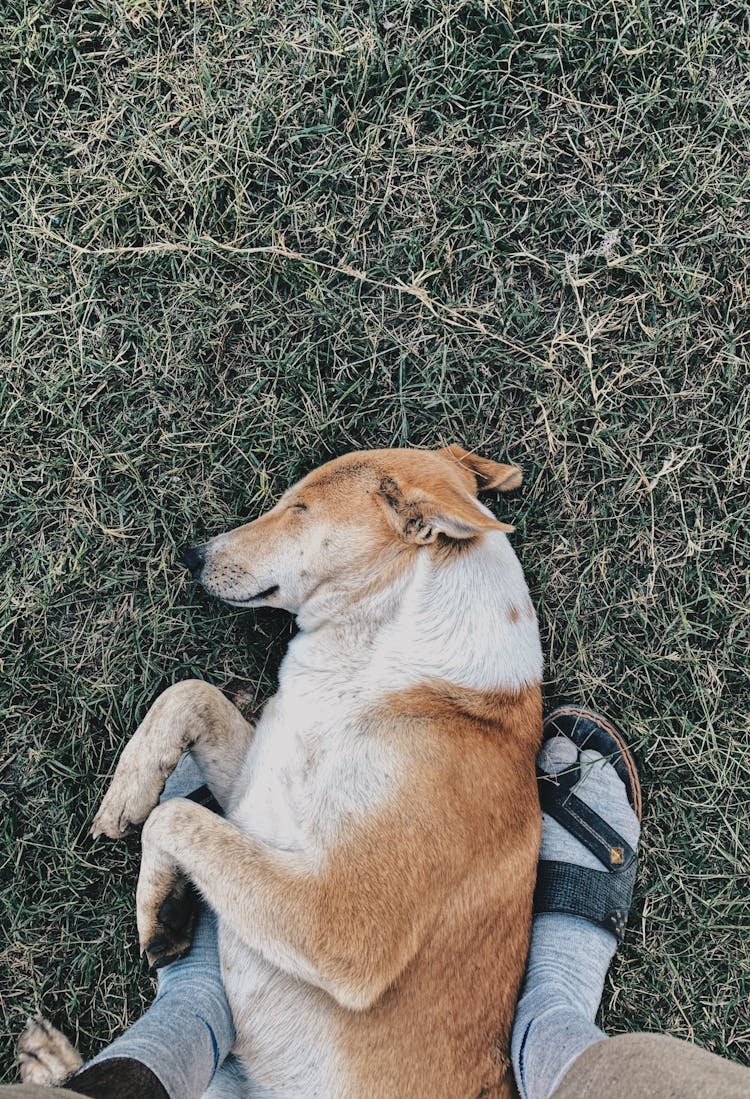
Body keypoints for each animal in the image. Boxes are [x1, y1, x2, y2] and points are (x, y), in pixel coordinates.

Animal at [26, 446, 541, 1099]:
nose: (192, 553)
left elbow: (175, 814)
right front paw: (129, 792)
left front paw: (158, 902)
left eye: (299, 508)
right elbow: (187, 694)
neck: (379, 666)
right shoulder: (254, 798)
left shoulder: (345, 923)